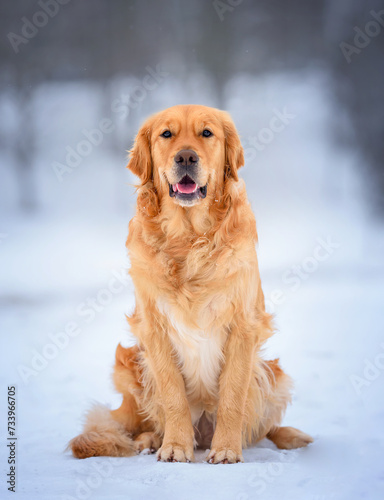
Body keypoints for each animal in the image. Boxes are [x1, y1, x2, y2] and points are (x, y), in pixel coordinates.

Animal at [70, 105, 312, 464]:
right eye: (166, 134)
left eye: (207, 133)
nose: (186, 157)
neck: (188, 238)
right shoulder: (153, 328)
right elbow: (173, 396)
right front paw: (174, 446)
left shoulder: (244, 326)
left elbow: (233, 397)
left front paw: (226, 449)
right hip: (126, 365)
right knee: (142, 423)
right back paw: (149, 441)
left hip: (275, 376)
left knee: (265, 427)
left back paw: (290, 436)